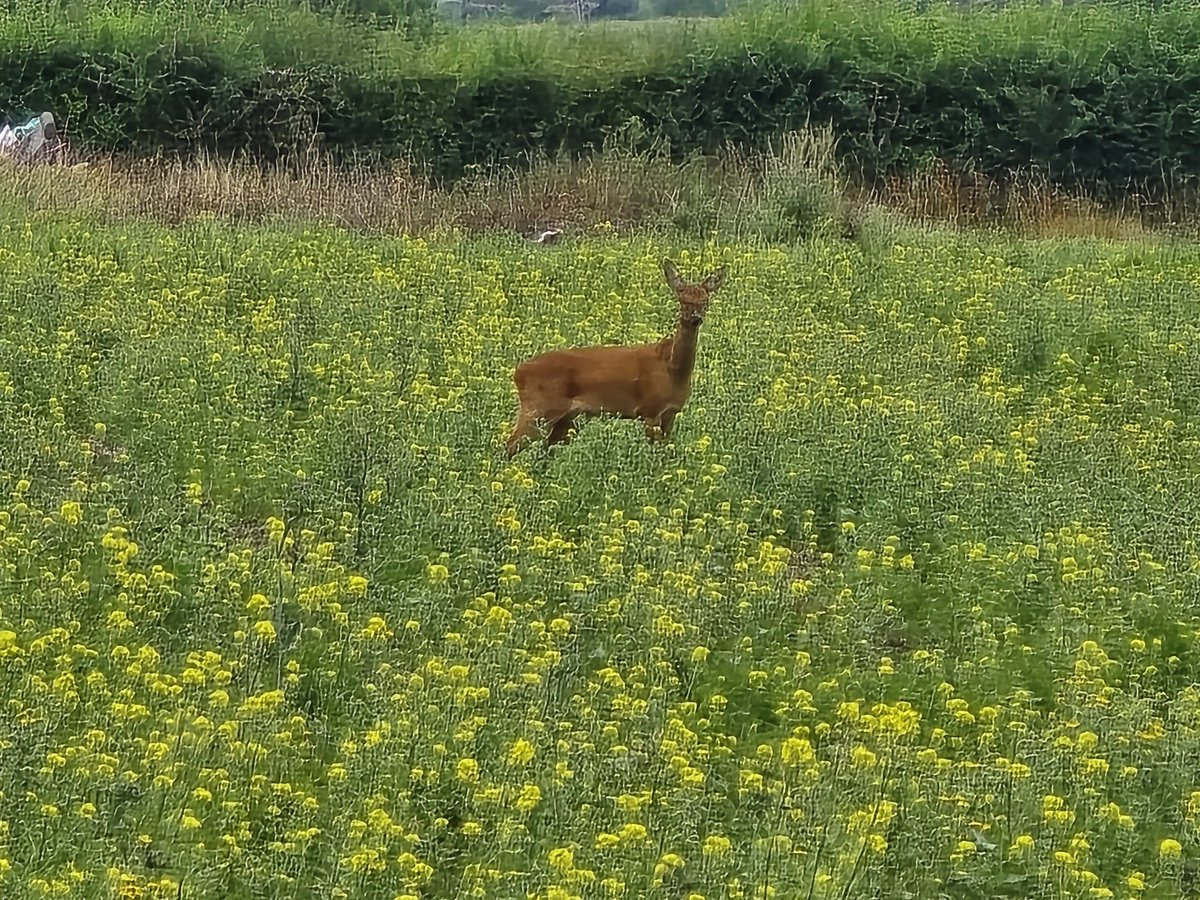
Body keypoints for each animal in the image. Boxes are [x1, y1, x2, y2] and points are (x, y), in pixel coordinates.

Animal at [504, 257, 726, 457]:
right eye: (682, 299)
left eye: (705, 300)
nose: (696, 318)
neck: (673, 369)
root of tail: (518, 373)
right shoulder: (649, 409)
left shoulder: (671, 413)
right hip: (539, 408)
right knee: (510, 445)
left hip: (567, 419)